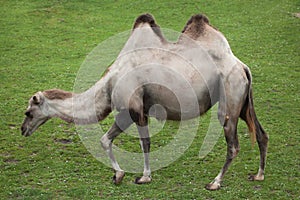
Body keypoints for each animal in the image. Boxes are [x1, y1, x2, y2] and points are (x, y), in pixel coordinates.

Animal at [21, 13, 270, 190]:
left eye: (28, 112)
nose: (23, 130)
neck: (108, 84)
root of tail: (242, 66)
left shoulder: (133, 108)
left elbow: (143, 143)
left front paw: (143, 177)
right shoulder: (132, 110)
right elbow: (106, 140)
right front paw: (118, 175)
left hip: (229, 96)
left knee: (233, 144)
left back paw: (215, 182)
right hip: (244, 101)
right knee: (261, 133)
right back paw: (258, 175)